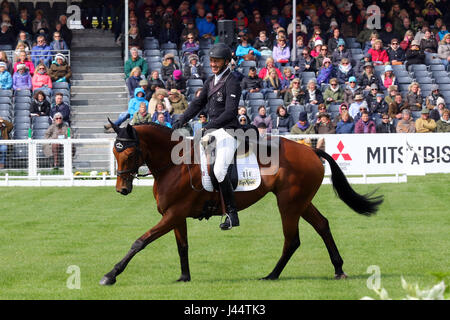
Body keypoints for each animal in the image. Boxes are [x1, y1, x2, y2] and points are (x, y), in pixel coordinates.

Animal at [98, 122, 384, 284]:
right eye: (114, 151)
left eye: (130, 153)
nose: (122, 189)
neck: (174, 165)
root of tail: (309, 149)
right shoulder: (175, 216)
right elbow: (182, 247)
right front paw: (184, 277)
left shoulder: (173, 214)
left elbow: (140, 241)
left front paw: (111, 275)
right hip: (301, 201)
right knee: (322, 225)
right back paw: (338, 269)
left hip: (289, 203)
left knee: (292, 239)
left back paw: (271, 275)